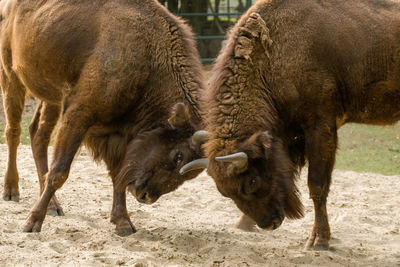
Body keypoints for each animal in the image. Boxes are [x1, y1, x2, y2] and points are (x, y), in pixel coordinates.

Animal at [0, 0, 203, 237]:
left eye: (190, 175)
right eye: (178, 156)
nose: (145, 196)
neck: (148, 56)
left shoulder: (117, 133)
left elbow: (118, 175)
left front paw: (123, 222)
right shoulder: (78, 115)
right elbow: (60, 171)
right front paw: (31, 223)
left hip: (51, 97)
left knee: (38, 135)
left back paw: (54, 206)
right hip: (11, 77)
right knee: (13, 132)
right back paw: (11, 192)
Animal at [180, 0, 400, 251]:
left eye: (252, 180)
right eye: (225, 192)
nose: (269, 224)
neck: (271, 58)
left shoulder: (320, 126)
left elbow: (317, 185)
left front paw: (318, 240)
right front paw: (243, 224)